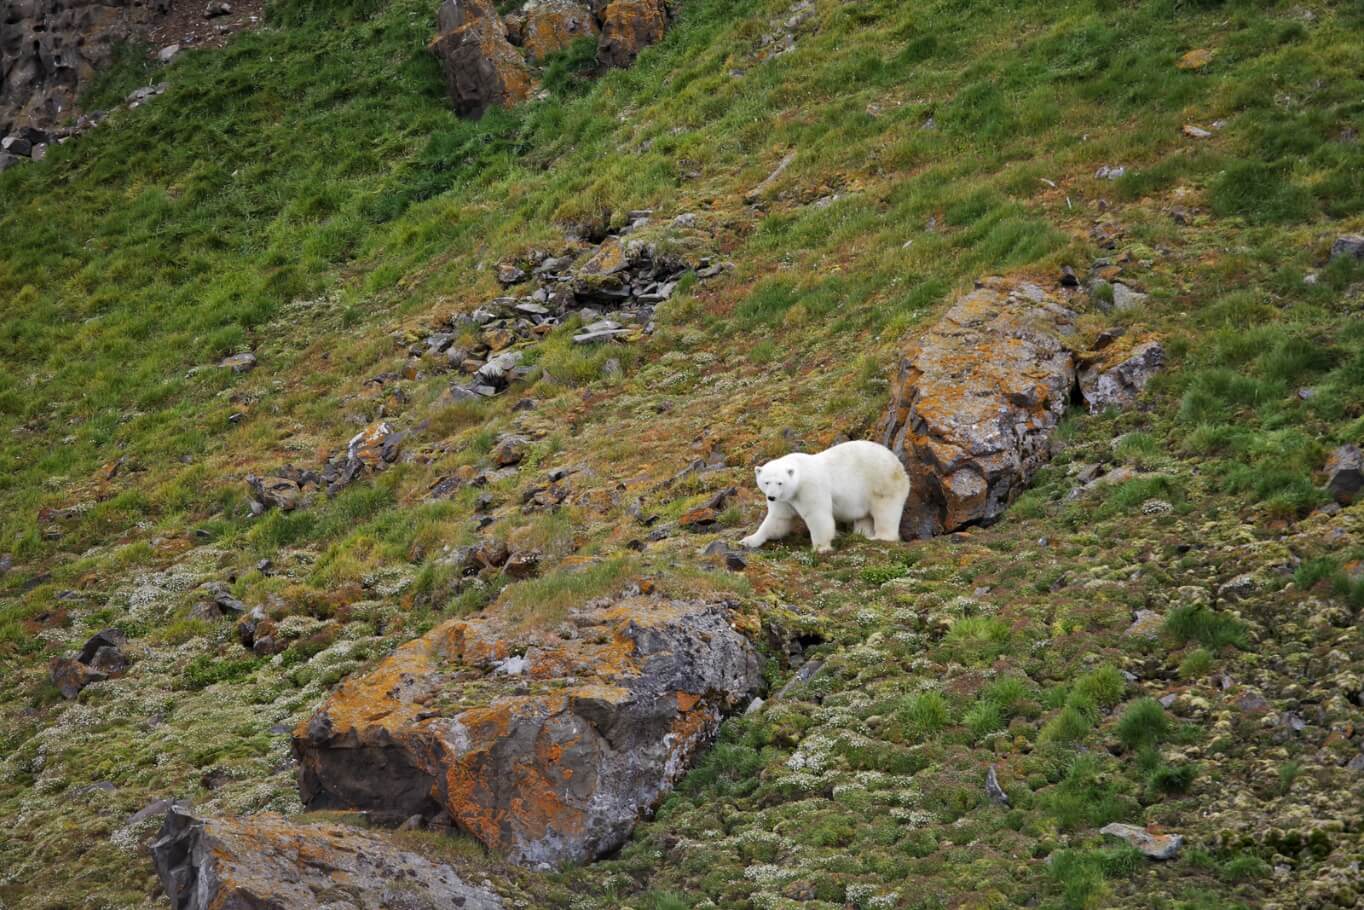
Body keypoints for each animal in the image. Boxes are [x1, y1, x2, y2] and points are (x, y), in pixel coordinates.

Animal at [740, 440, 910, 554]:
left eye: (780, 482)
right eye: (766, 482)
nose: (771, 497)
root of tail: (898, 463)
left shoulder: (809, 487)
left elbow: (817, 515)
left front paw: (820, 548)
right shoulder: (786, 499)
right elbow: (778, 519)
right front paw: (748, 540)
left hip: (882, 480)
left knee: (886, 510)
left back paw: (881, 537)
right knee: (865, 516)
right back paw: (861, 534)